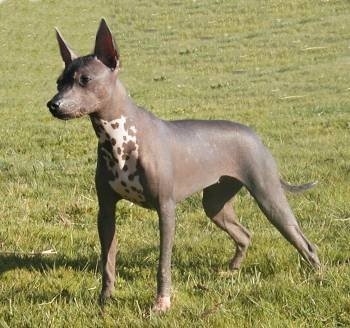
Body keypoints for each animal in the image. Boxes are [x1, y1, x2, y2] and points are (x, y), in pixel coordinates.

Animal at [46, 18, 320, 312]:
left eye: (85, 80)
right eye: (59, 82)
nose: (53, 104)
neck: (120, 137)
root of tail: (255, 136)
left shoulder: (166, 209)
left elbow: (163, 263)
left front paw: (161, 302)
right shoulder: (106, 211)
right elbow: (107, 260)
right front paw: (105, 300)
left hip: (269, 197)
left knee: (305, 243)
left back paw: (318, 276)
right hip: (215, 204)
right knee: (245, 234)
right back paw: (230, 271)